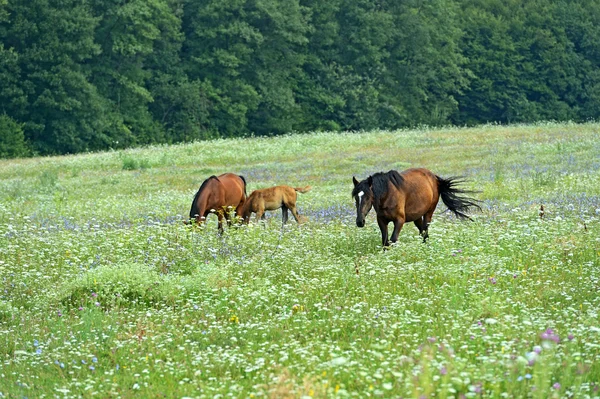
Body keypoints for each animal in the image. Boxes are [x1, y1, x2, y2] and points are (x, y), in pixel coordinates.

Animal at [350, 168, 480, 248]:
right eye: (356, 197)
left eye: (368, 197)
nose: (360, 222)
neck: (388, 194)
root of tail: (434, 177)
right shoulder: (382, 221)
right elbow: (385, 241)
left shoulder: (399, 220)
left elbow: (393, 239)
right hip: (417, 217)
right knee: (423, 232)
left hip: (428, 213)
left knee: (425, 232)